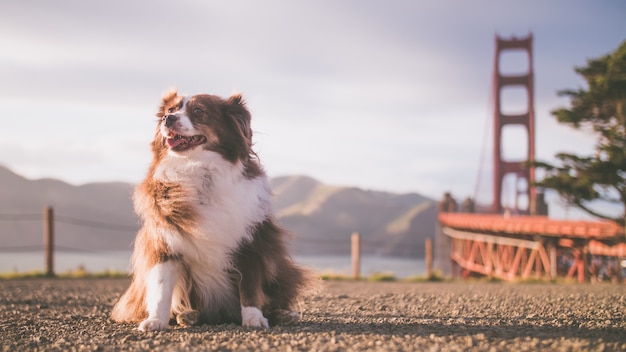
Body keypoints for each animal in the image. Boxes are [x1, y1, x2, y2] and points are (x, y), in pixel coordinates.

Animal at [111, 89, 310, 332]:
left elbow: (250, 285)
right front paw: (155, 320)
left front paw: (253, 318)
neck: (201, 170)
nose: (168, 119)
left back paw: (285, 314)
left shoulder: (252, 240)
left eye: (198, 111)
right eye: (171, 109)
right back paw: (187, 315)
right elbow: (162, 286)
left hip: (280, 266)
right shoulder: (165, 240)